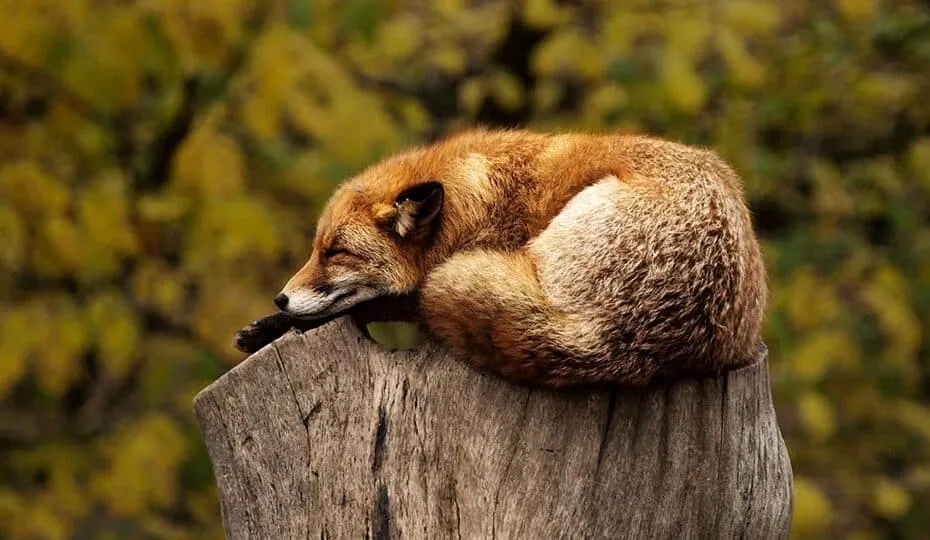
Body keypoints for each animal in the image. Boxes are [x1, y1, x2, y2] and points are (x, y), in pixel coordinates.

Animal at [234, 128, 767, 388]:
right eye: (315, 249)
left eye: (336, 252)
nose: (281, 298)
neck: (473, 203)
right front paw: (267, 326)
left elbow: (380, 303)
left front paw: (275, 326)